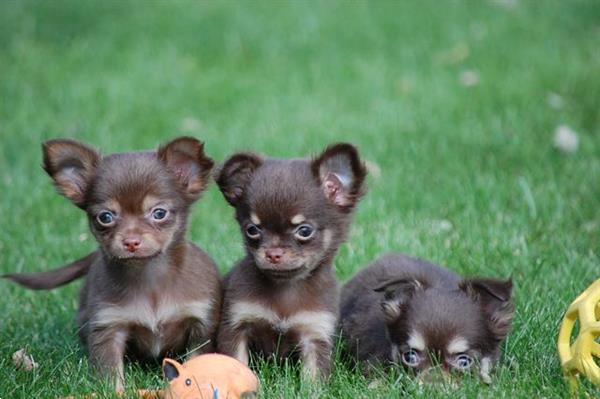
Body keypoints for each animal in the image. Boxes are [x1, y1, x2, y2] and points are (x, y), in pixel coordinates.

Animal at [4, 138, 221, 390]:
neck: (149, 278)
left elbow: (197, 362)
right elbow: (109, 373)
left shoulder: (201, 326)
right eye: (105, 217)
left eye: (159, 213)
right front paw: (115, 391)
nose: (131, 241)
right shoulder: (108, 326)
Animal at [214, 143, 366, 378]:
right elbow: (236, 363)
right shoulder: (236, 324)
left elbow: (313, 376)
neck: (285, 287)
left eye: (304, 231)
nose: (273, 253)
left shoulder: (315, 332)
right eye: (252, 229)